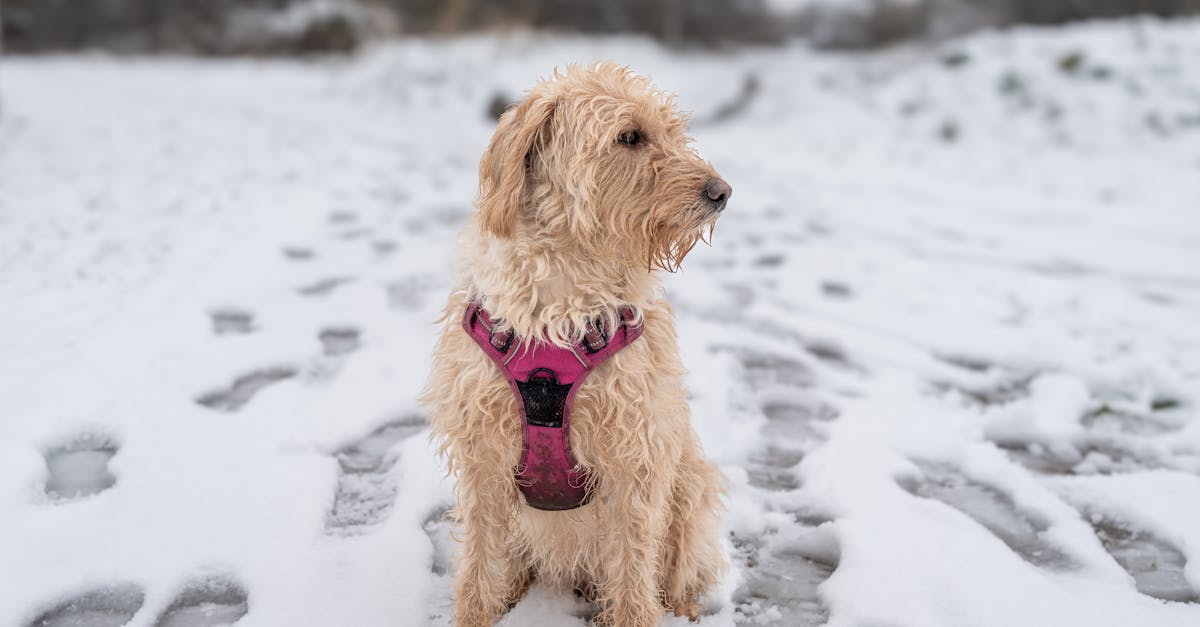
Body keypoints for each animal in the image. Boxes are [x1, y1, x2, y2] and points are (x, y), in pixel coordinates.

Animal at [429, 63, 729, 624]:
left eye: (673, 133)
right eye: (629, 136)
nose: (721, 192)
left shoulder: (637, 457)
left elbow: (633, 572)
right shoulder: (484, 459)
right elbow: (478, 566)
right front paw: (476, 613)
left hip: (691, 484)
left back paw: (683, 605)